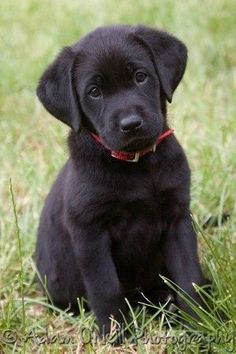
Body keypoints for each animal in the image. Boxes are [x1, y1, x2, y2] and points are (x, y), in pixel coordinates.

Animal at [35, 24, 206, 334]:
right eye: (94, 92)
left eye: (140, 77)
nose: (131, 124)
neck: (138, 165)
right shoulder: (89, 231)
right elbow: (106, 287)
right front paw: (116, 334)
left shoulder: (178, 218)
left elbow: (190, 277)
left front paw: (201, 324)